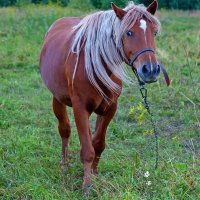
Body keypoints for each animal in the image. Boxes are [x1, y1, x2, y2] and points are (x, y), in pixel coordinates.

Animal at [39, 0, 169, 193]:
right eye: (128, 32)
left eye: (154, 32)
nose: (151, 70)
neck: (95, 64)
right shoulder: (80, 109)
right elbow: (87, 150)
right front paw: (86, 185)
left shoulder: (109, 108)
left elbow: (98, 144)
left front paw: (94, 174)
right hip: (58, 99)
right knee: (64, 130)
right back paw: (64, 164)